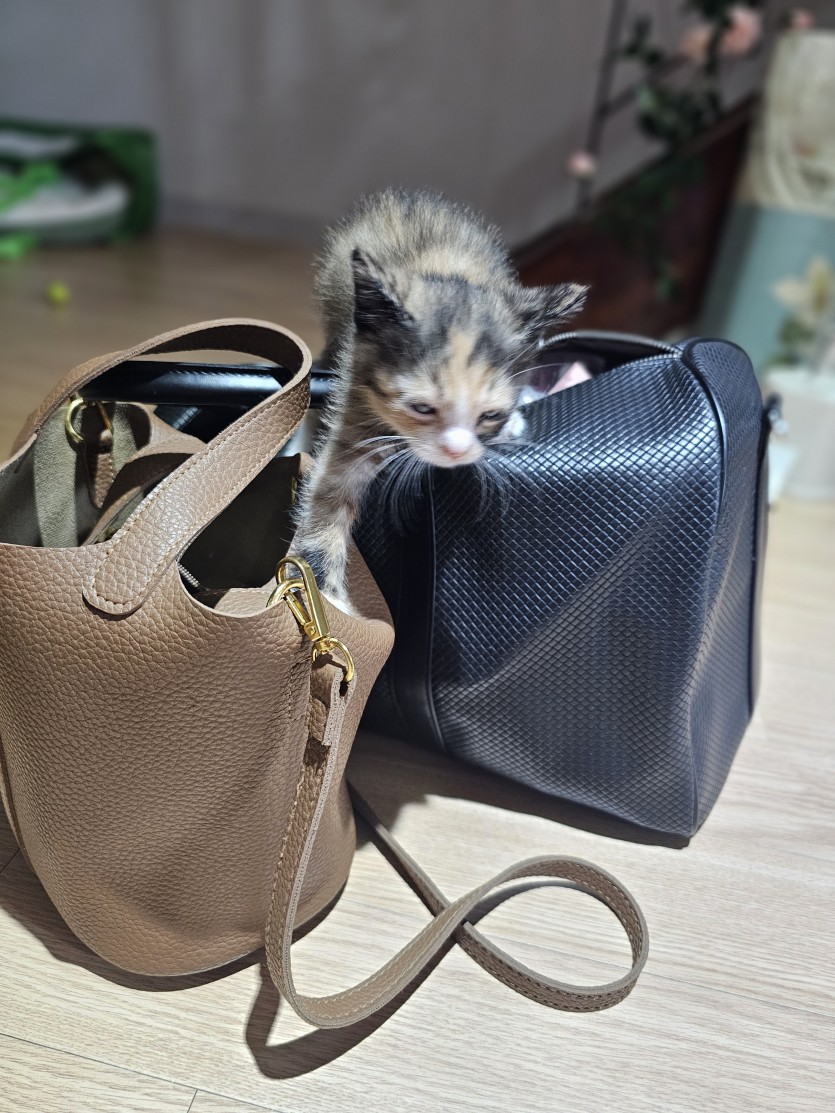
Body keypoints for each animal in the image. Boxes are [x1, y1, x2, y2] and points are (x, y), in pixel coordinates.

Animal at [292, 188, 587, 613]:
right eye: (422, 408)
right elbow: (332, 489)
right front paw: (328, 595)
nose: (456, 450)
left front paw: (512, 424)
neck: (450, 272)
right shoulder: (358, 387)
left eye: (490, 414)